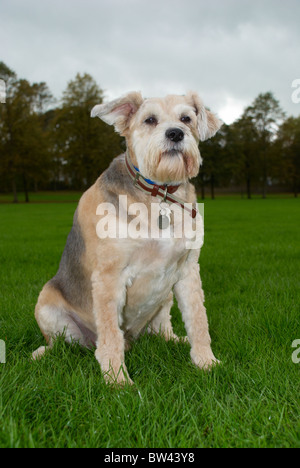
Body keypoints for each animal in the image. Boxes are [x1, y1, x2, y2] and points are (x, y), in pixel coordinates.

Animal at [32, 90, 223, 384]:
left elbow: (198, 321)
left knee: (161, 328)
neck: (158, 195)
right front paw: (117, 380)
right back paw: (43, 353)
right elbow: (111, 335)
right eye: (150, 119)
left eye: (186, 118)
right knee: (62, 344)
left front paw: (206, 362)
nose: (176, 134)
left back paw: (172, 339)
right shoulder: (109, 277)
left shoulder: (188, 271)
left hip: (164, 298)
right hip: (47, 303)